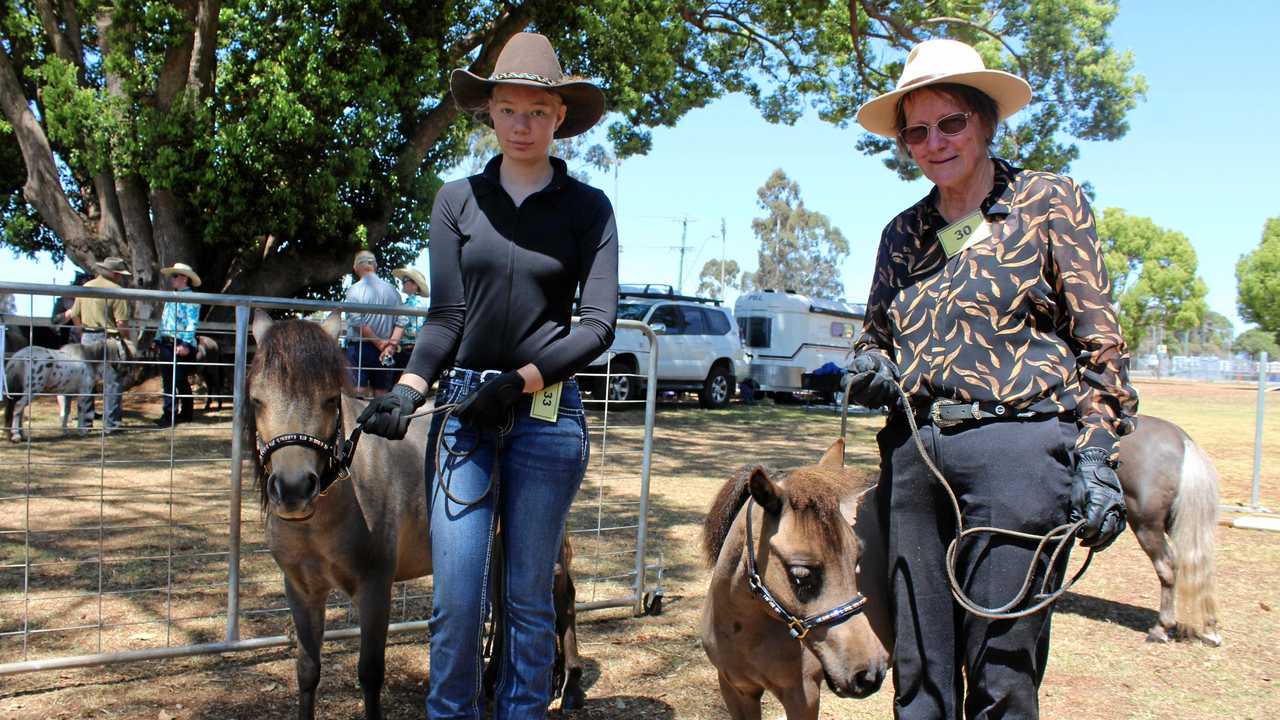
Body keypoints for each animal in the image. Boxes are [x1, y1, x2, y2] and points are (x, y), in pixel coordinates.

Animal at [245, 313, 586, 717]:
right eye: (256, 399)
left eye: (329, 399)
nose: (294, 490)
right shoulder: (301, 590)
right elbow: (307, 670)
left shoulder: (375, 588)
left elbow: (370, 672)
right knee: (504, 607)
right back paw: (492, 683)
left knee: (563, 600)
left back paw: (571, 687)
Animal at [1121, 415, 1218, 645]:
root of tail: (1184, 442)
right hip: (1179, 525)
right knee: (1201, 565)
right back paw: (1210, 628)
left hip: (1147, 526)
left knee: (1166, 567)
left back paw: (1161, 628)